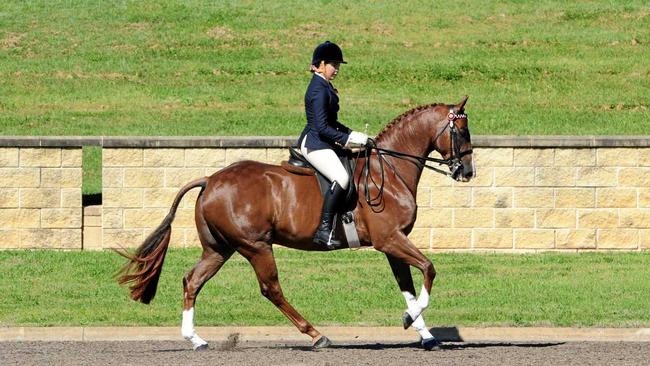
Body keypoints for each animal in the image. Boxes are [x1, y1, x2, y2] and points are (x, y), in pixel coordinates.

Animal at [116, 96, 474, 350]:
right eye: (460, 130)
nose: (467, 172)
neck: (388, 170)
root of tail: (211, 180)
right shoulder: (390, 239)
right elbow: (428, 269)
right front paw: (410, 320)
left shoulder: (391, 243)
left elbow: (408, 287)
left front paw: (424, 333)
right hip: (255, 246)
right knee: (271, 289)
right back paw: (316, 335)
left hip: (220, 248)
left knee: (192, 281)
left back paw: (196, 340)